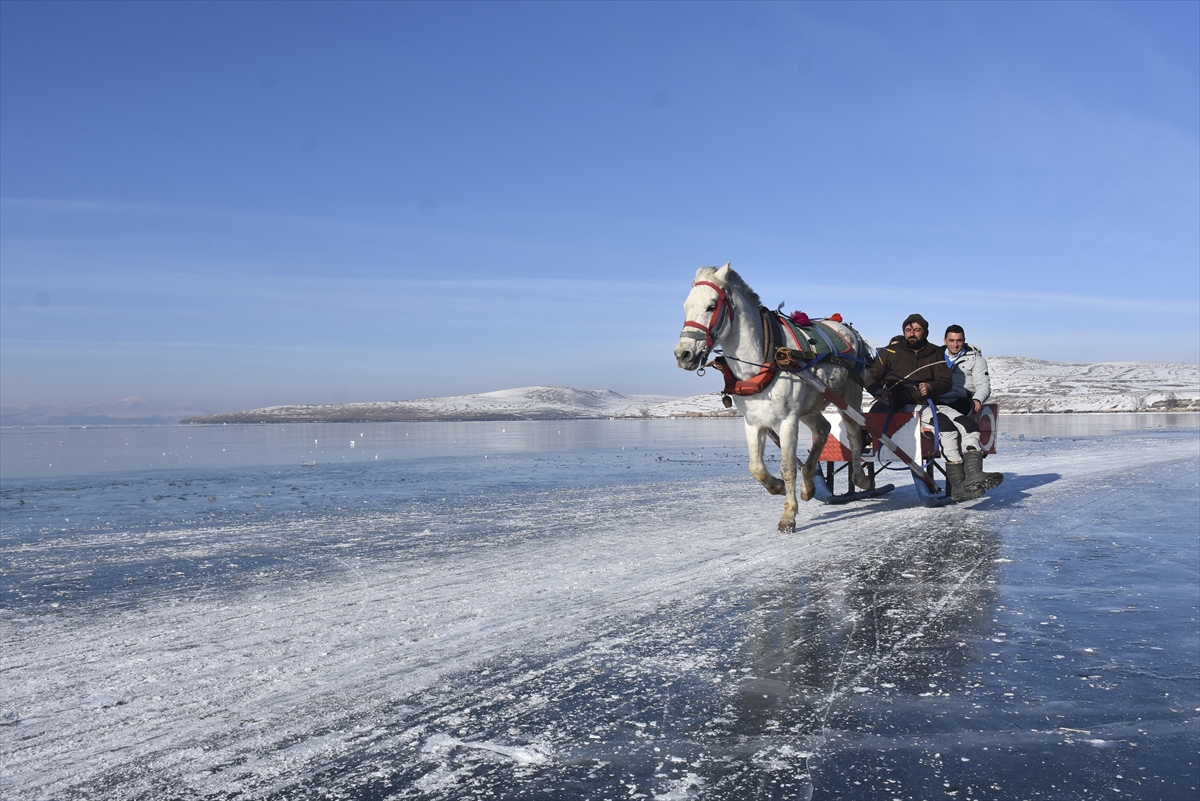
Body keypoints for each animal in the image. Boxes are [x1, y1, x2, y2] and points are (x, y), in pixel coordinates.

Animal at [676, 262, 873, 532]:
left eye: (712, 306)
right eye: (686, 306)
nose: (683, 354)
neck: (762, 358)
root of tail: (847, 328)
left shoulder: (788, 420)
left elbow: (788, 467)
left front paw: (788, 515)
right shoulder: (753, 422)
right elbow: (756, 467)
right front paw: (777, 487)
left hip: (849, 394)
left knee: (854, 433)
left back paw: (860, 479)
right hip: (810, 404)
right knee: (822, 429)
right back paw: (809, 484)